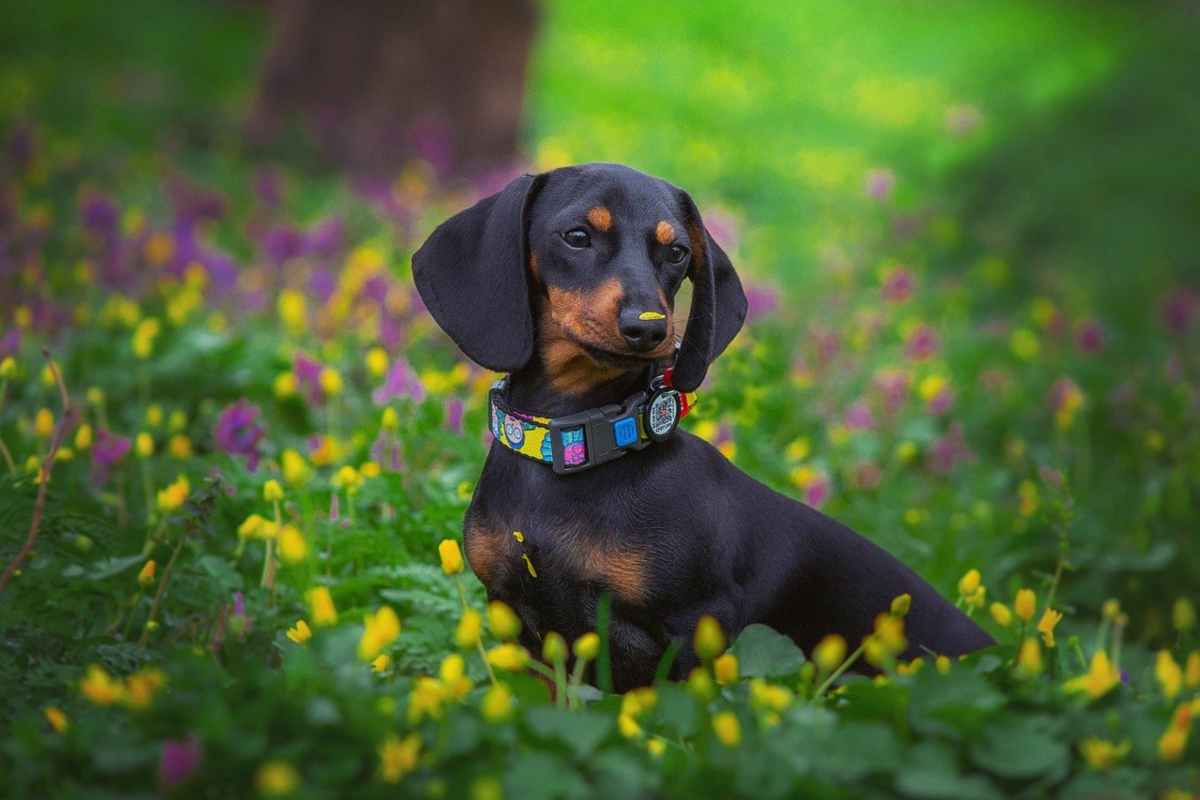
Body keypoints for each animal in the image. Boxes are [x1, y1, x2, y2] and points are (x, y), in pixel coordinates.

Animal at [412, 164, 993, 695]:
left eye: (676, 253)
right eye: (576, 236)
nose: (648, 328)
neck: (574, 448)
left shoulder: (698, 624)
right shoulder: (519, 624)